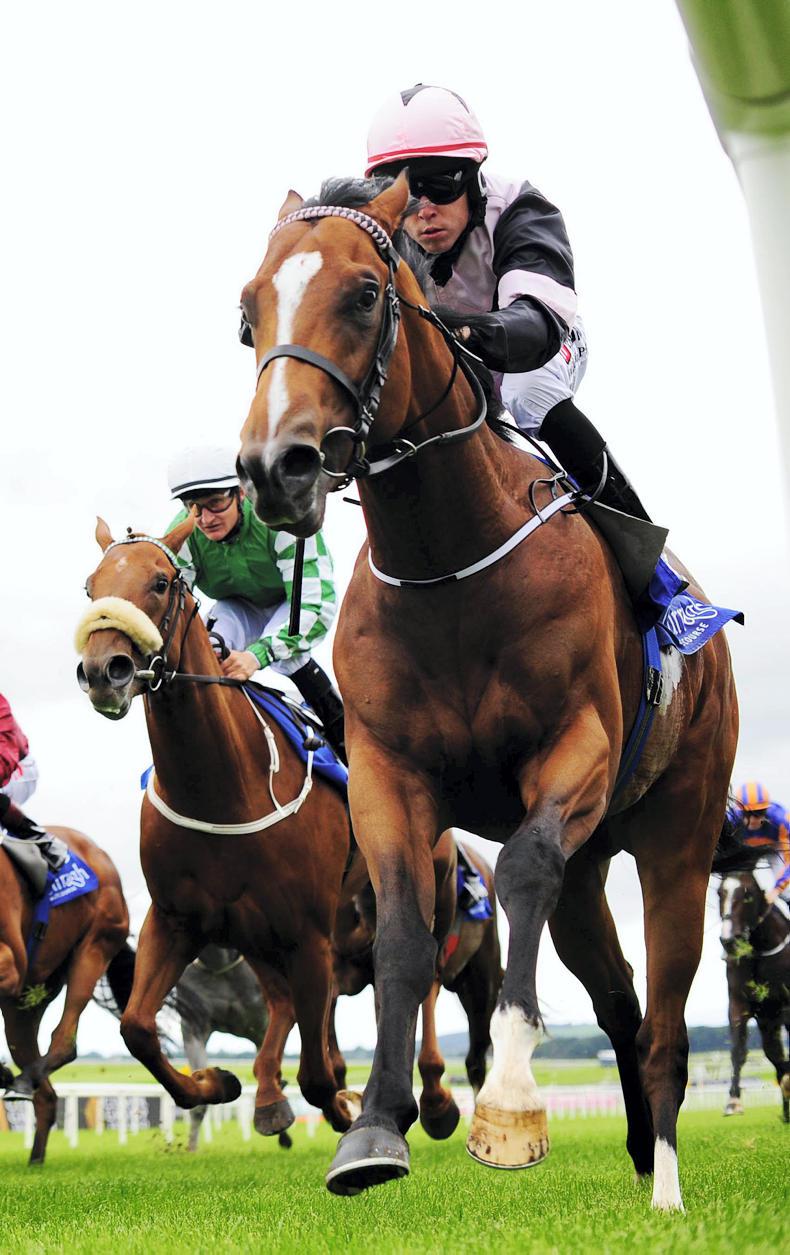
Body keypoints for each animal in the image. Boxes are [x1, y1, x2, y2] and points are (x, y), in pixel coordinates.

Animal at [0, 828, 130, 1163]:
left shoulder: (11, 964)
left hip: (93, 948)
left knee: (64, 1042)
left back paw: (18, 1080)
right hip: (23, 1006)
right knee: (46, 1095)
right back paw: (34, 1158)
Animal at [718, 871, 790, 1121]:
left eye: (748, 894)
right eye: (720, 893)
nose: (730, 940)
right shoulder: (740, 1004)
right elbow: (738, 1051)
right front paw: (733, 1101)